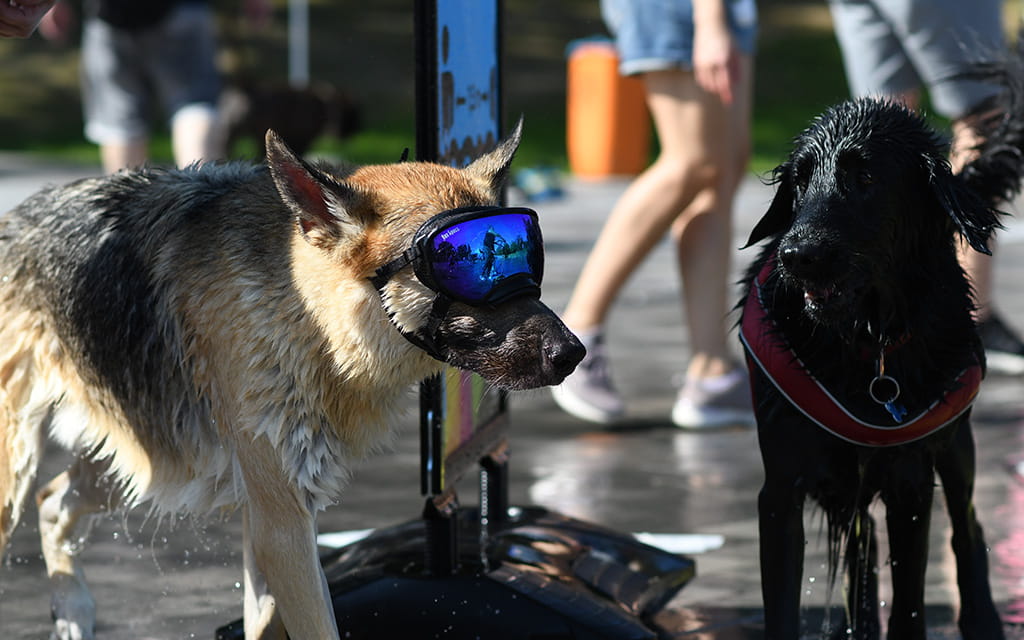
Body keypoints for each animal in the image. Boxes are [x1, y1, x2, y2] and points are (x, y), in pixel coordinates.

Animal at [0, 122, 585, 634]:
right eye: (463, 264)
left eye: (526, 256)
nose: (573, 353)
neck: (309, 316)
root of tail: (18, 214)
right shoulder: (281, 523)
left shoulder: (273, 519)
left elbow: (265, 622)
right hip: (39, 473)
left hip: (158, 461)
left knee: (53, 500)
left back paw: (73, 612)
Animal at [741, 71, 1019, 638]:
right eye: (799, 180)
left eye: (866, 177)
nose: (796, 255)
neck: (866, 343)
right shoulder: (780, 491)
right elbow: (785, 605)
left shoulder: (911, 483)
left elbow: (910, 599)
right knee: (862, 553)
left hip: (957, 446)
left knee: (967, 526)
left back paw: (982, 617)